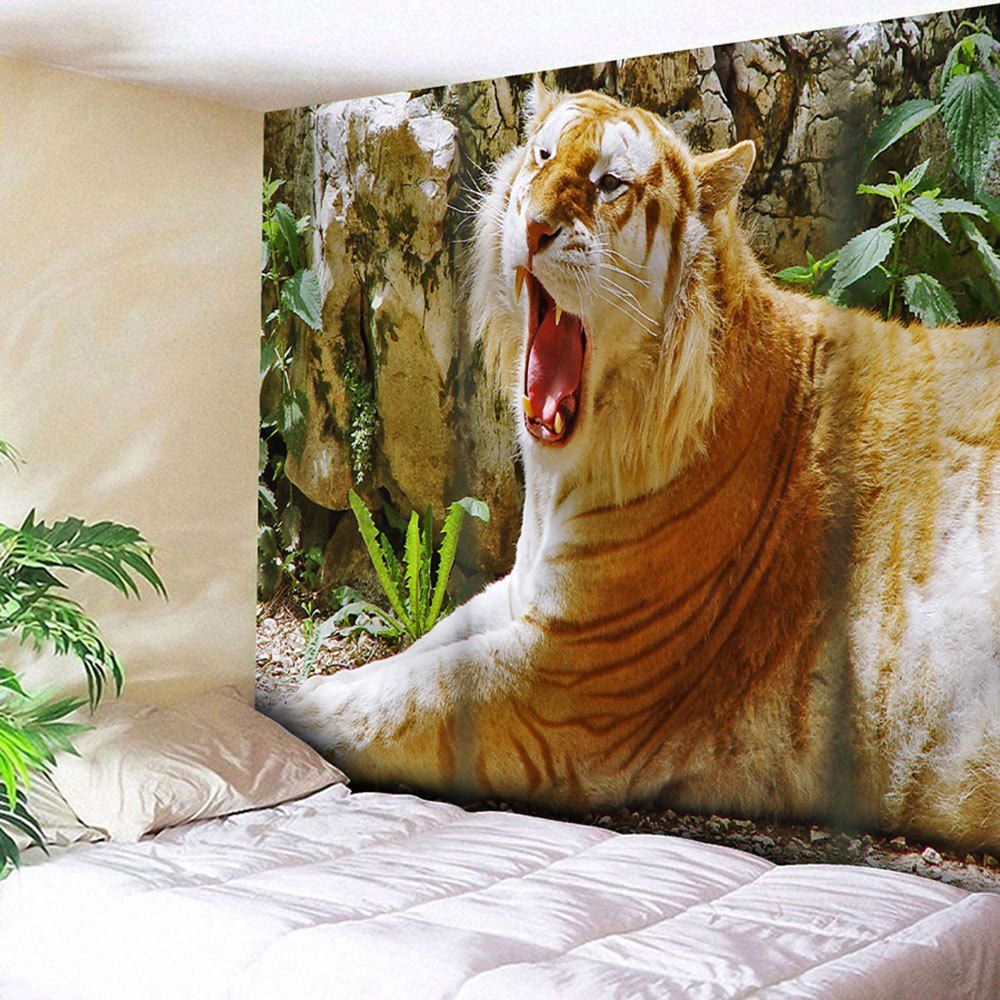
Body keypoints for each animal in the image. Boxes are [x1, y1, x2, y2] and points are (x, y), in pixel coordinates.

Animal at [275, 79, 1000, 851]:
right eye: (542, 155)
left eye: (609, 184)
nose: (534, 226)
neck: (562, 475)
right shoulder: (523, 596)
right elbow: (412, 655)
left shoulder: (567, 678)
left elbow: (393, 699)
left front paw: (278, 713)